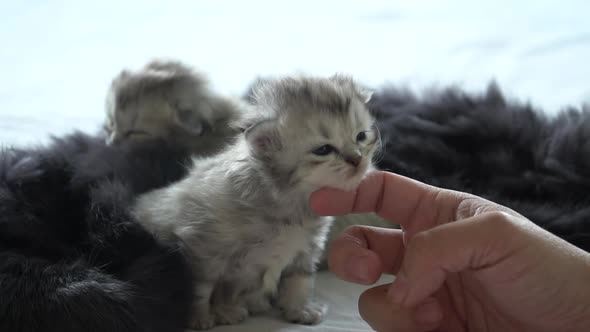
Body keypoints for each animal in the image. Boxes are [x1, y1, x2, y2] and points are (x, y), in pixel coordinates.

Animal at [132, 73, 382, 330]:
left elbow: (299, 281)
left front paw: (299, 309)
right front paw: (199, 317)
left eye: (361, 136)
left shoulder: (306, 249)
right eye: (323, 149)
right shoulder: (203, 246)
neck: (292, 204)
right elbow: (201, 286)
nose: (357, 160)